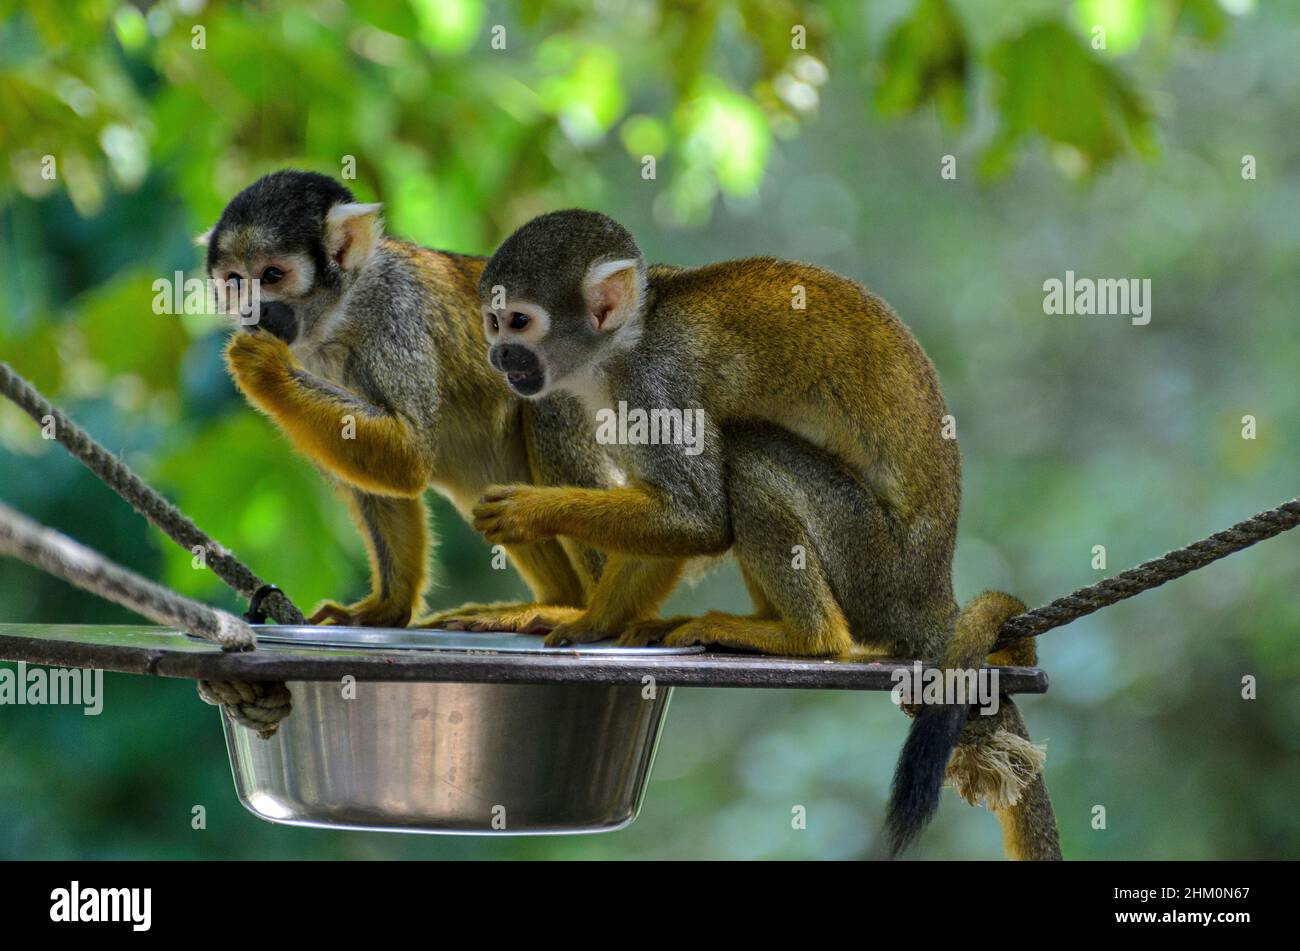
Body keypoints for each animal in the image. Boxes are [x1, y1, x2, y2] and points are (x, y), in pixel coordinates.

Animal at [200, 171, 615, 633]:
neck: (340, 314)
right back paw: (562, 599)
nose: (250, 311)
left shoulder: (396, 311)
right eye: (236, 280)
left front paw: (264, 368)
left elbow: (409, 455)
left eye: (272, 275)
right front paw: (387, 607)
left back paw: (584, 611)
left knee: (550, 415)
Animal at [469, 209, 1059, 858]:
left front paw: (533, 510)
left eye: (519, 321)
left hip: (871, 558)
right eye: (493, 321)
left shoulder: (657, 385)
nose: (499, 355)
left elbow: (698, 515)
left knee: (747, 455)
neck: (624, 345)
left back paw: (807, 637)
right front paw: (592, 621)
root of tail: (932, 595)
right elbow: (678, 519)